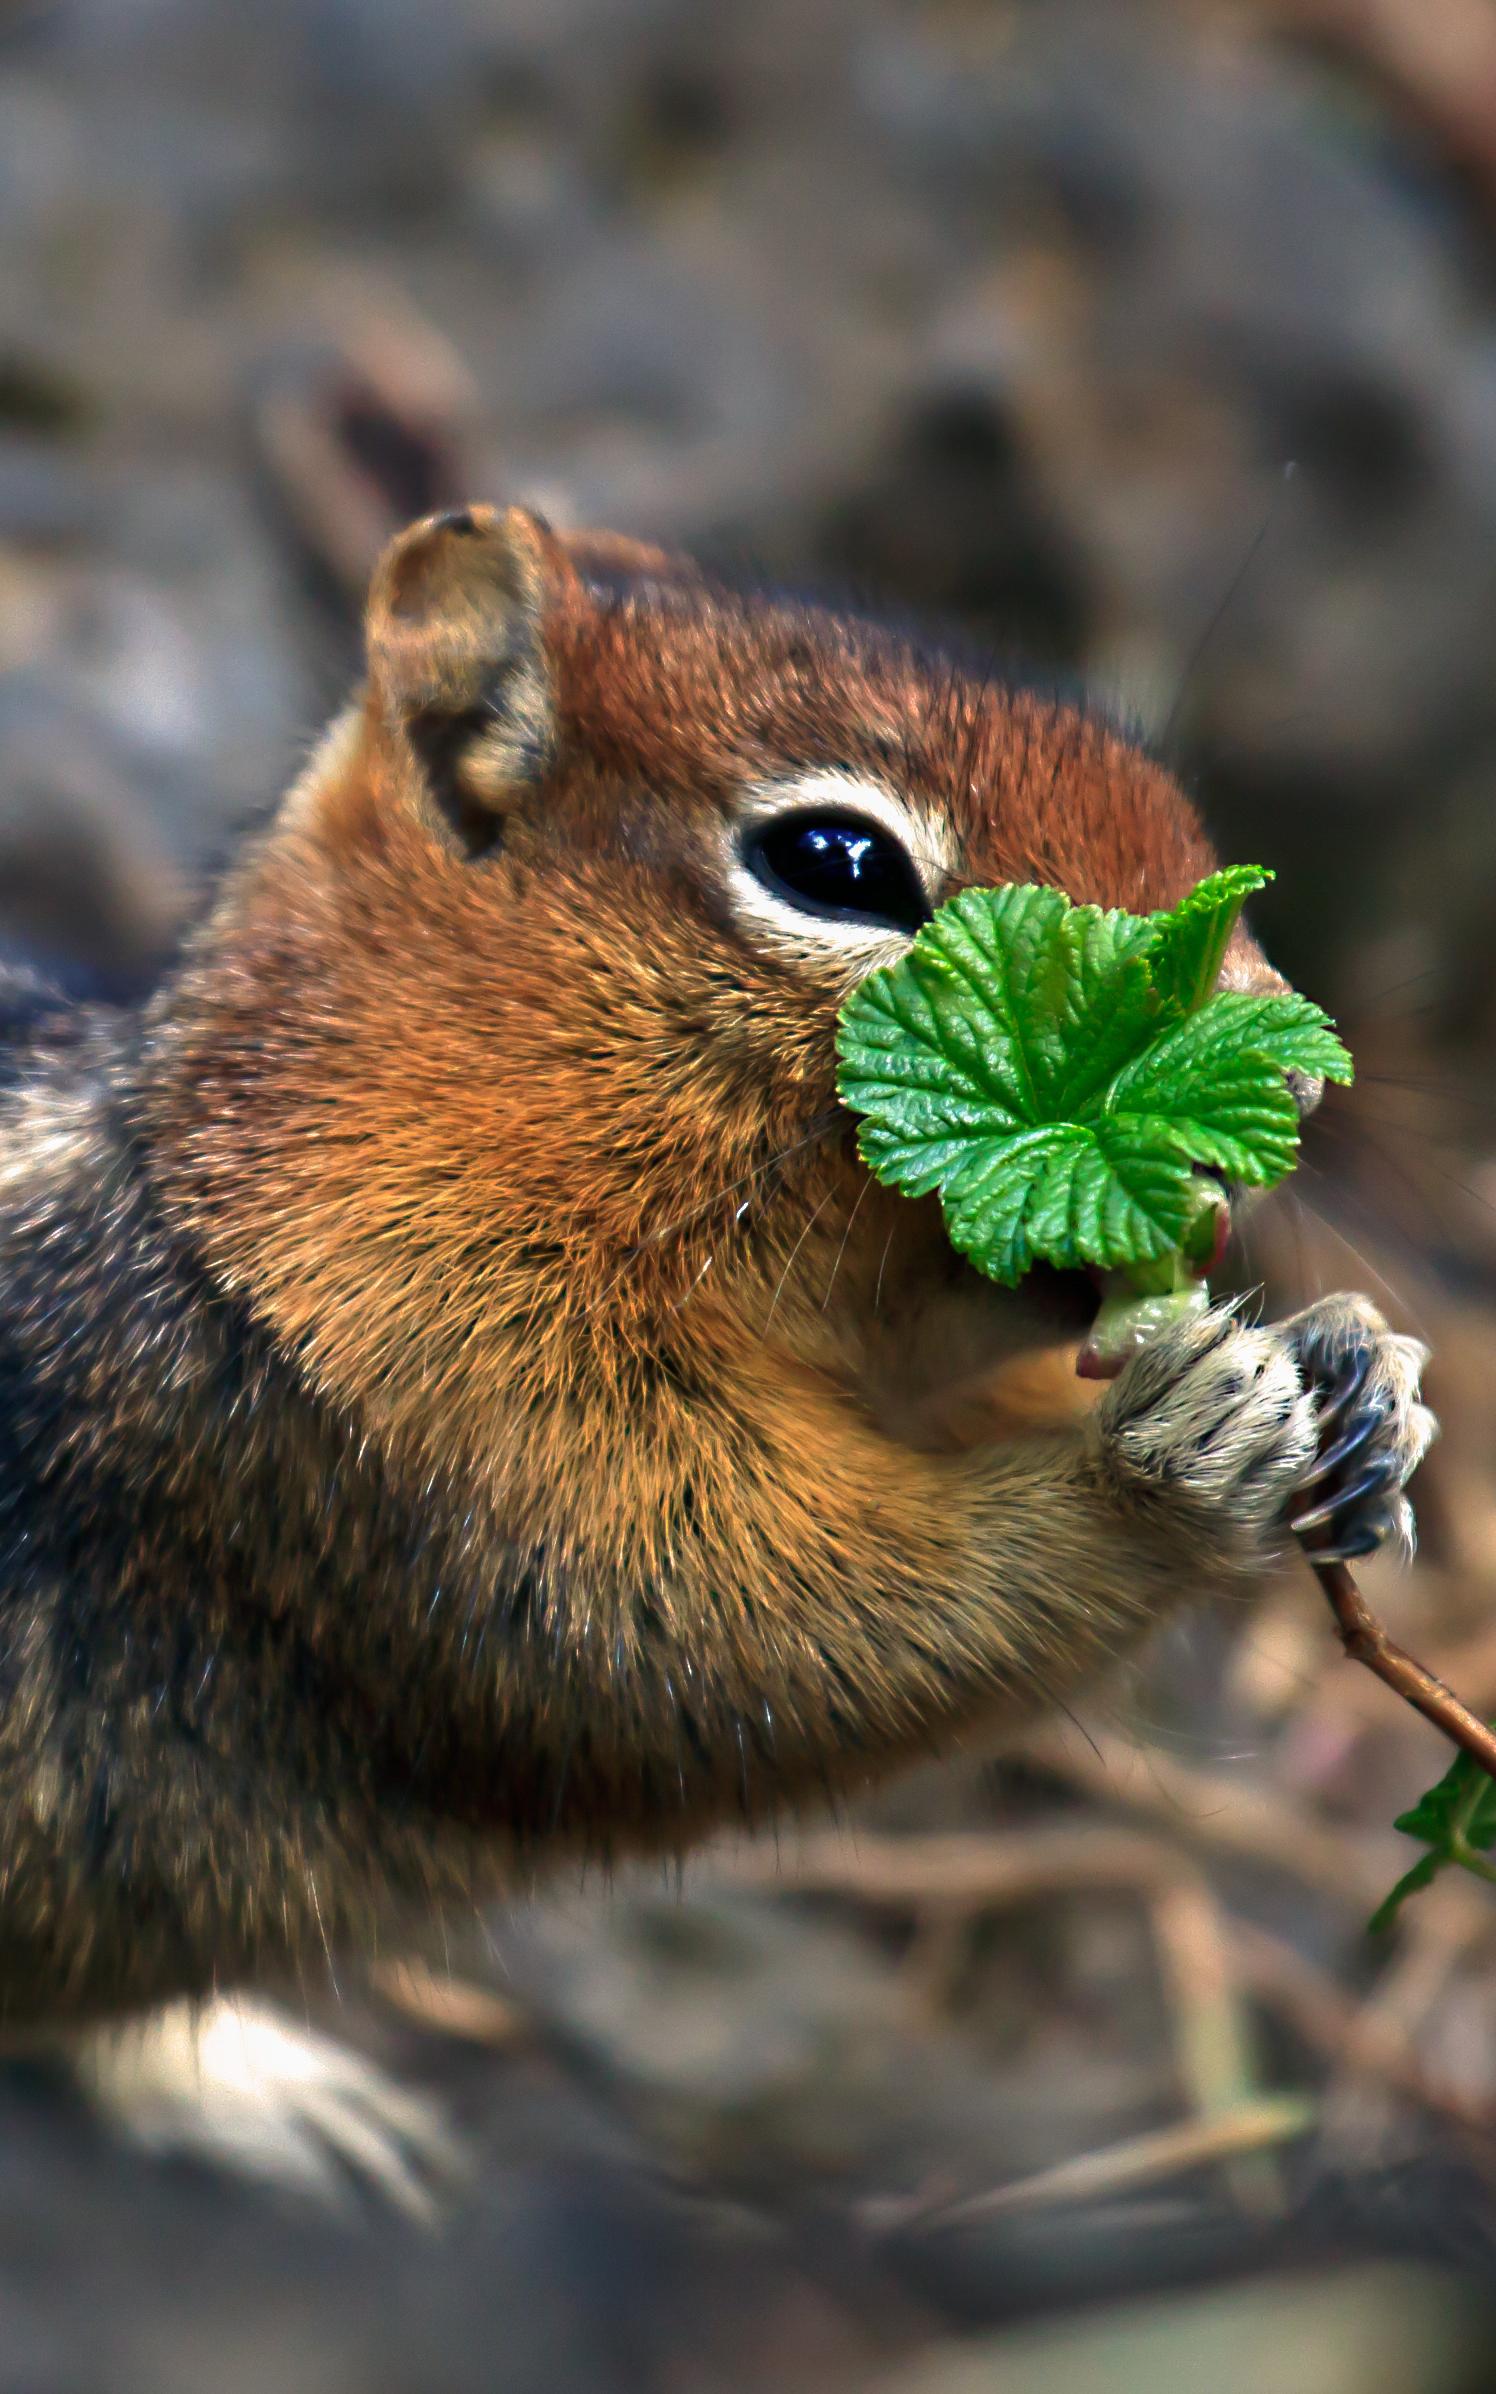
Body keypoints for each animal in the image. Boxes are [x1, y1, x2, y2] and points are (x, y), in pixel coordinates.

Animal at [0, 514, 1426, 2192]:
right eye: (836, 863)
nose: (1288, 1051)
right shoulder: (425, 1417)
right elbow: (751, 1630)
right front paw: (1184, 1451)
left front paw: (1365, 1371)